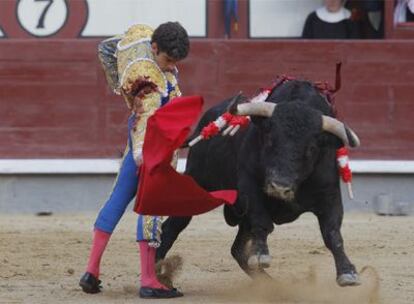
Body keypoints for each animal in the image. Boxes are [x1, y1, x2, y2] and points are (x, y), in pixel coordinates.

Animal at [157, 79, 360, 286]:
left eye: (311, 148)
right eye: (270, 139)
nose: (279, 187)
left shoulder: (329, 195)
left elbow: (332, 233)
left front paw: (347, 272)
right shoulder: (250, 187)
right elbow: (262, 222)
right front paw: (262, 255)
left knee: (237, 249)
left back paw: (271, 285)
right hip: (198, 183)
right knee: (172, 227)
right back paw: (158, 277)